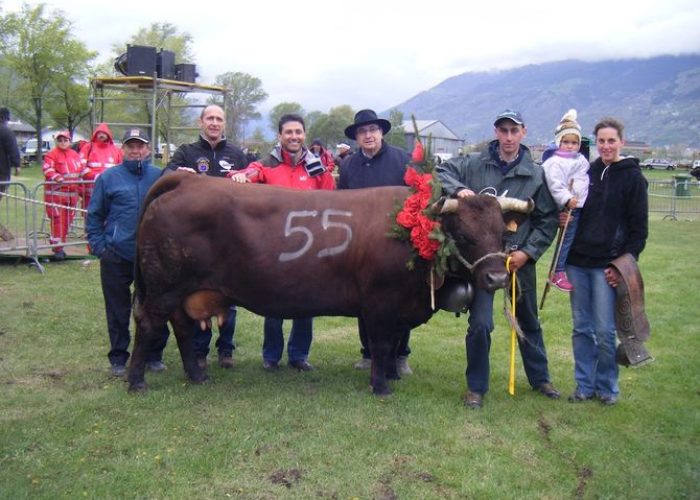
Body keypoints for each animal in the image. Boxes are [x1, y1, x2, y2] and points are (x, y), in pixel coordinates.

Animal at [130, 172, 532, 394]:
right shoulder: (381, 304)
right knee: (149, 324)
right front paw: (381, 387)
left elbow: (393, 344)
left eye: (502, 233)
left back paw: (197, 376)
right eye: (462, 235)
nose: (497, 277)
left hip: (181, 291)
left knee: (181, 327)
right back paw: (136, 382)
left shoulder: (399, 308)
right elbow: (382, 344)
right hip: (164, 287)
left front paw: (390, 376)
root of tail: (189, 179)